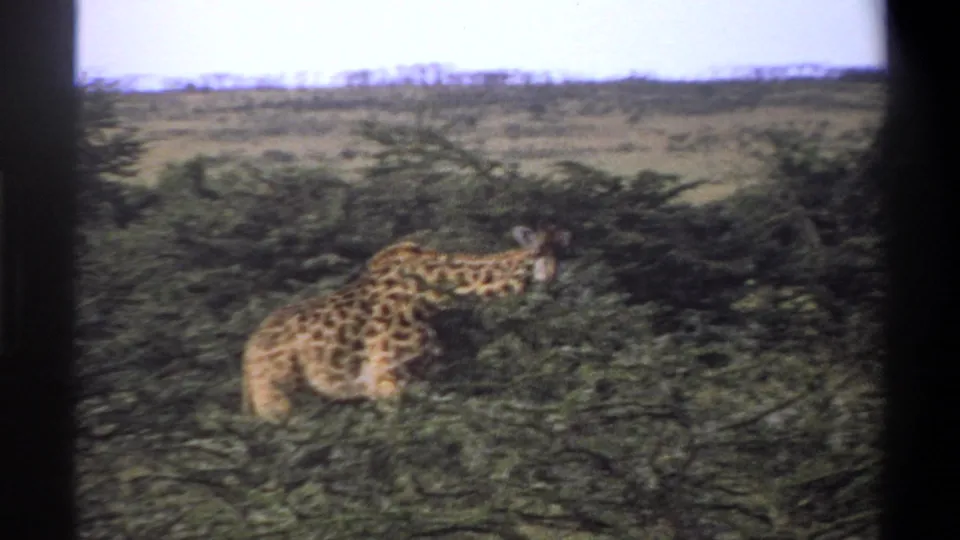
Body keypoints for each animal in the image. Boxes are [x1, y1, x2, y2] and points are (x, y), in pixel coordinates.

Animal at [241, 224, 572, 423]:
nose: (550, 280)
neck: (435, 294)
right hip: (277, 399)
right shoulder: (386, 381)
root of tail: (248, 355)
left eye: (561, 254)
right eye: (536, 254)